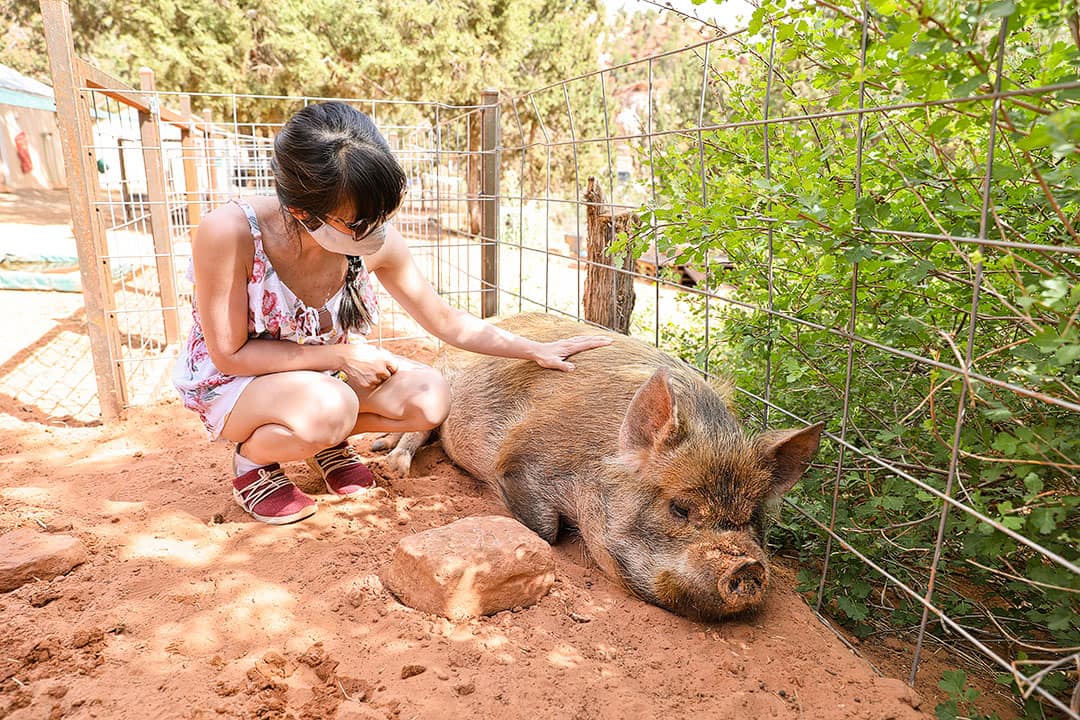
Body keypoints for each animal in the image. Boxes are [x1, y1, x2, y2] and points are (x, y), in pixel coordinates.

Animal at [388, 313, 825, 621]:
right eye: (679, 508)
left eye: (751, 517)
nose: (747, 565)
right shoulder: (519, 460)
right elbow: (545, 530)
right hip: (438, 384)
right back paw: (392, 465)